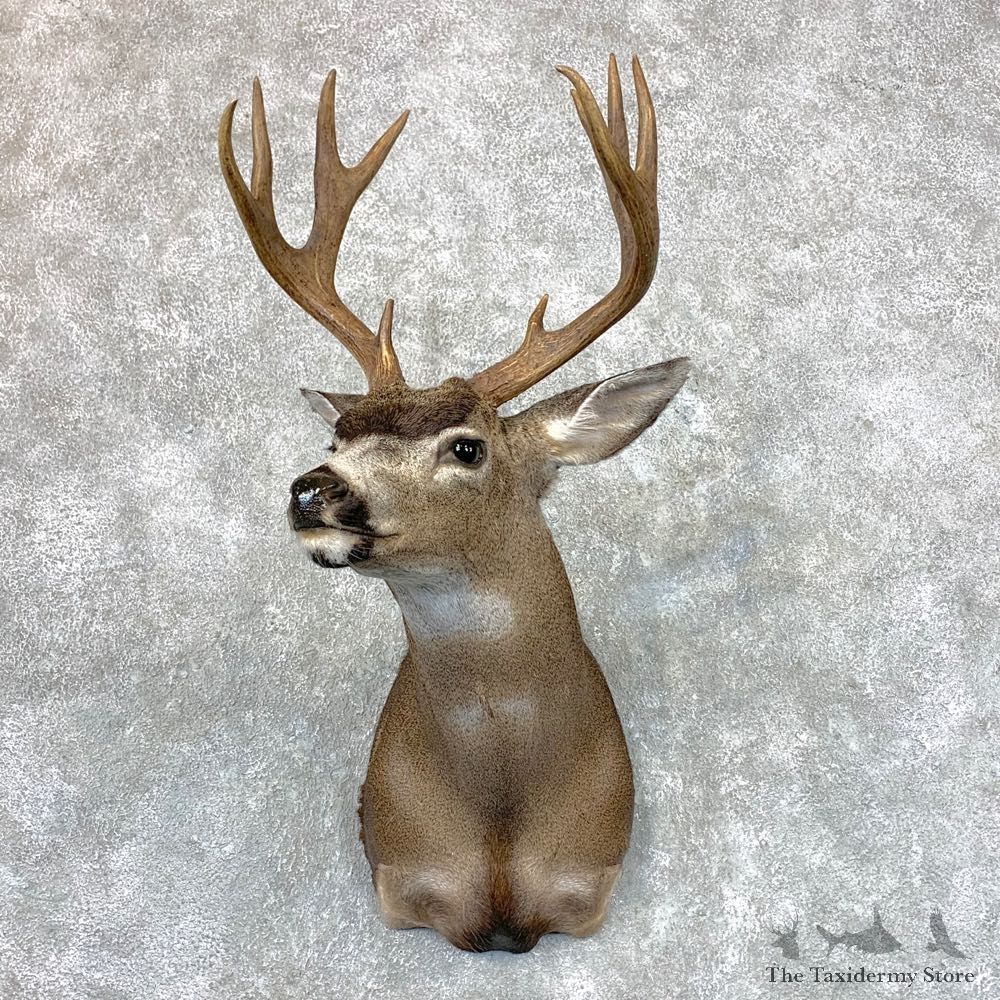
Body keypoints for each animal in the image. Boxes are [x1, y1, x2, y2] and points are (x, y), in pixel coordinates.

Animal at [219, 55, 690, 954]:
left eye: (467, 447)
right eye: (336, 434)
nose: (313, 489)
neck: (500, 813)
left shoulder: (590, 886)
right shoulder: (402, 878)